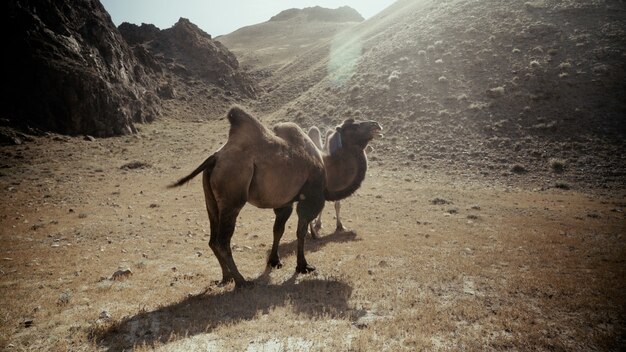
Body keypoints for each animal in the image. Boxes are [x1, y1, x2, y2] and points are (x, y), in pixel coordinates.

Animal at [168, 107, 378, 288]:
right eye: (354, 126)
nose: (376, 125)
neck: (327, 169)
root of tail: (215, 158)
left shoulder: (285, 202)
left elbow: (278, 230)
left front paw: (274, 261)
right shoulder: (310, 198)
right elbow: (300, 232)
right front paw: (303, 266)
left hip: (211, 199)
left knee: (213, 239)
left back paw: (226, 277)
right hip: (232, 197)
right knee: (222, 241)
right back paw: (241, 281)